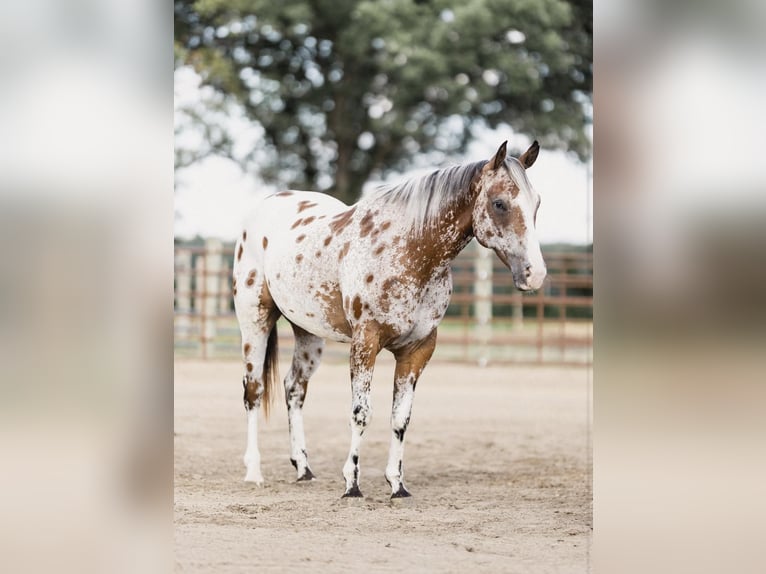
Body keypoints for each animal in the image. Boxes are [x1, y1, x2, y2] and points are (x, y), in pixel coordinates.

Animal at [232, 141, 544, 500]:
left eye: (537, 203)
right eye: (499, 203)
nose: (535, 274)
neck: (410, 250)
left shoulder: (417, 350)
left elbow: (400, 419)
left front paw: (397, 484)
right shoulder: (365, 343)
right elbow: (361, 413)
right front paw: (352, 484)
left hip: (309, 334)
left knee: (294, 388)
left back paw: (303, 468)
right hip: (255, 321)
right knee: (253, 391)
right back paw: (253, 471)